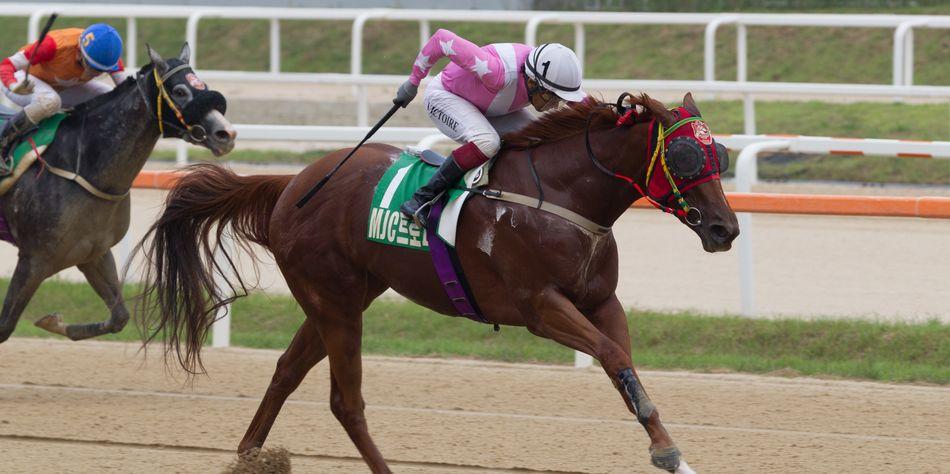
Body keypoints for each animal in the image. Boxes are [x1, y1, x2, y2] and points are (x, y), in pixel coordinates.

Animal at [0, 43, 236, 340]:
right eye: (180, 91)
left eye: (203, 84)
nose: (226, 134)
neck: (81, 166)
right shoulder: (34, 260)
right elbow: (4, 327)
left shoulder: (93, 253)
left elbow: (119, 317)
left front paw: (54, 322)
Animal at [138, 92, 740, 474]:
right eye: (686, 155)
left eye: (721, 153)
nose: (725, 228)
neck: (560, 197)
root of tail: (292, 184)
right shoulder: (540, 308)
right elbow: (613, 356)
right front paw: (667, 454)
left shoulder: (600, 300)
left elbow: (624, 367)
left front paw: (672, 453)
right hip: (334, 300)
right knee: (345, 401)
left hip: (342, 296)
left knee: (287, 370)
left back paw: (248, 457)